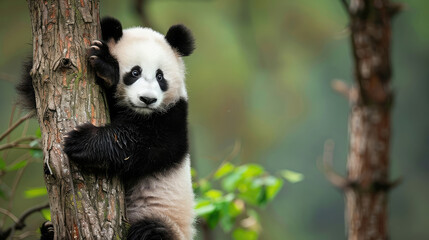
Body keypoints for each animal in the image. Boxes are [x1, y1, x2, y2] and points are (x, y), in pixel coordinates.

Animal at [18, 17, 196, 240]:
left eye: (160, 76)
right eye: (135, 72)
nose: (148, 99)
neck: (138, 112)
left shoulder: (173, 117)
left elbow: (143, 144)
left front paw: (82, 141)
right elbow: (34, 88)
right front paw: (106, 67)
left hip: (165, 218)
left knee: (153, 230)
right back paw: (49, 231)